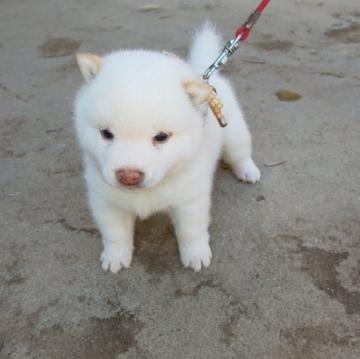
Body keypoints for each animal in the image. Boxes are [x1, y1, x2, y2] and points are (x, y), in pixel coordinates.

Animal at [74, 23, 258, 272]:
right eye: (106, 134)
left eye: (161, 137)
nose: (128, 176)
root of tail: (203, 73)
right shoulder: (106, 201)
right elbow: (115, 233)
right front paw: (115, 256)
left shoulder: (190, 200)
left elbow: (191, 231)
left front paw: (195, 253)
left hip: (234, 132)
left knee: (240, 152)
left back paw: (248, 170)